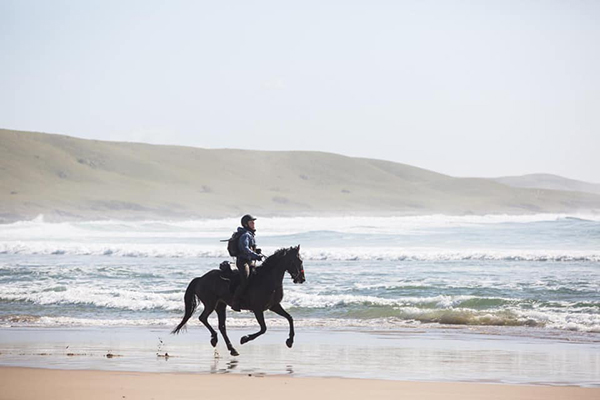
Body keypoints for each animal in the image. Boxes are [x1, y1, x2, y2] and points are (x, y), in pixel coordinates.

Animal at [172, 247, 304, 356]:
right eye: (299, 261)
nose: (302, 279)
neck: (268, 278)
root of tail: (200, 279)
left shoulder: (274, 306)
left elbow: (289, 318)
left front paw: (290, 341)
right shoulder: (258, 309)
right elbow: (263, 328)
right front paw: (245, 339)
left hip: (221, 305)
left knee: (222, 326)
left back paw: (231, 349)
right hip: (211, 304)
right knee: (203, 318)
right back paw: (215, 339)